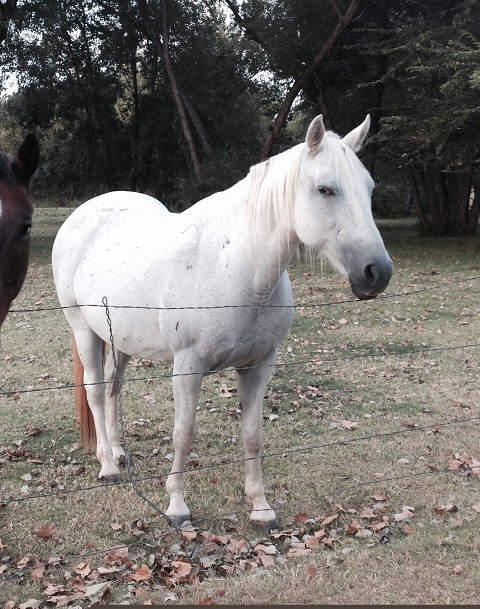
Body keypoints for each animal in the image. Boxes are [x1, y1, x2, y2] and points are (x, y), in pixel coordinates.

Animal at [51, 115, 390, 528]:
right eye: (325, 189)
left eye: (369, 188)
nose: (377, 272)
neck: (239, 268)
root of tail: (81, 215)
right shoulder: (188, 366)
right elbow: (183, 433)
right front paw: (177, 507)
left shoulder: (259, 366)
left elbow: (253, 434)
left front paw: (260, 508)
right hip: (83, 329)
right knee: (97, 391)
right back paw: (108, 467)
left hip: (120, 338)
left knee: (115, 388)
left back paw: (118, 453)